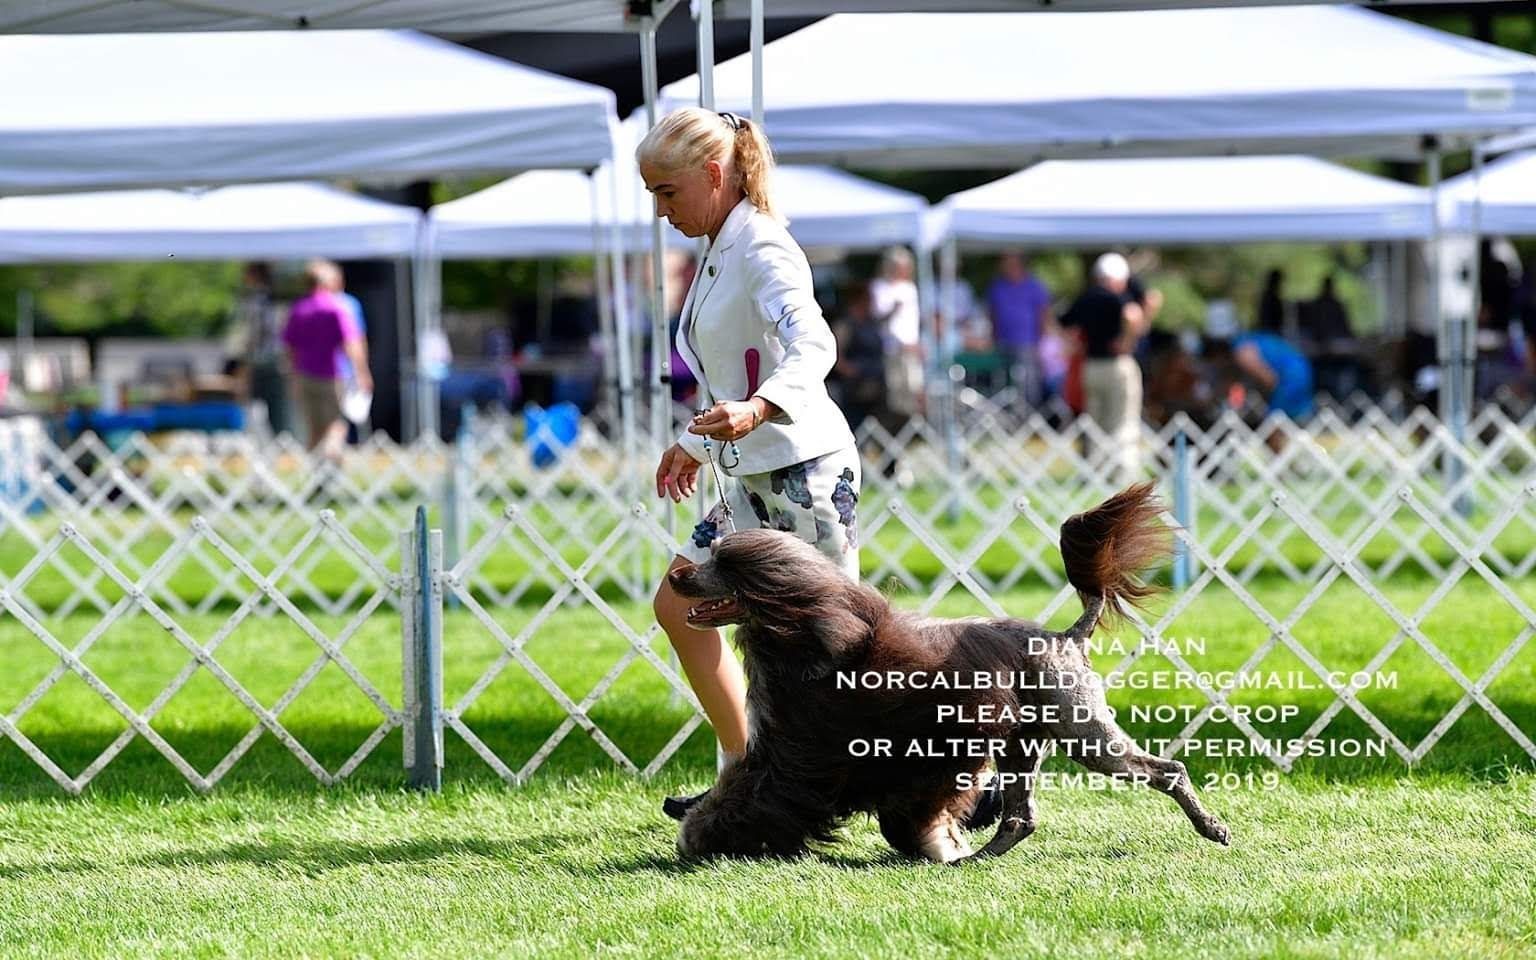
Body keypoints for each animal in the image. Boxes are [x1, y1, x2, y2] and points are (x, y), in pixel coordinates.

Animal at [666, 482, 1228, 866]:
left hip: (1081, 730)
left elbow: (761, 791)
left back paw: (1213, 829)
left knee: (1169, 771)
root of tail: (1067, 636)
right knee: (1021, 816)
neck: (805, 628)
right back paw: (977, 859)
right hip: (1021, 742)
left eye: (722, 564)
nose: (677, 577)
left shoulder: (802, 748)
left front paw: (705, 835)